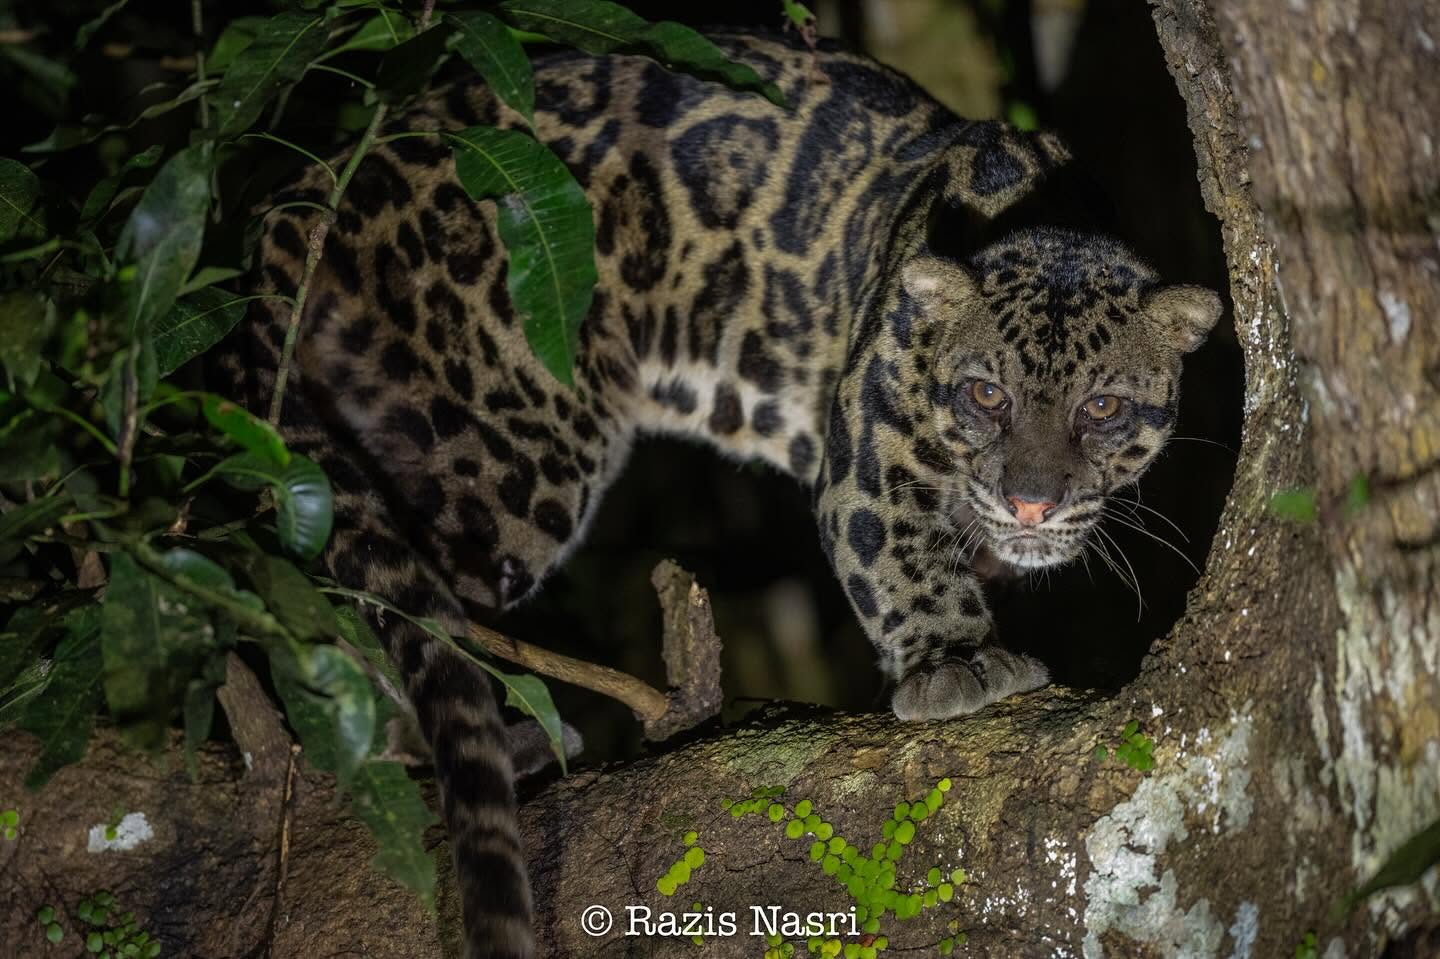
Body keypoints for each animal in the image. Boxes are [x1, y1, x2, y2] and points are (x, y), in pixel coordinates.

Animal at [209, 29, 1222, 959]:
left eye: (1100, 407)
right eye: (986, 396)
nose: (1030, 505)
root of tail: (321, 182)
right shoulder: (868, 447)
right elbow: (901, 553)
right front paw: (953, 661)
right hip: (504, 448)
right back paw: (500, 734)